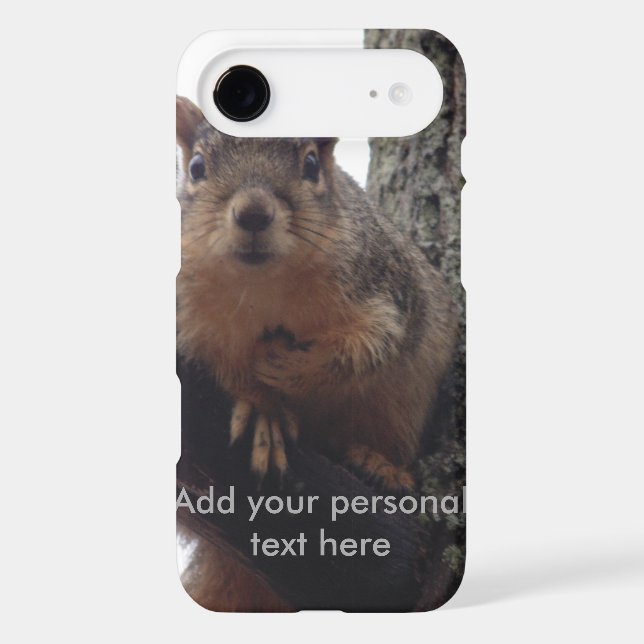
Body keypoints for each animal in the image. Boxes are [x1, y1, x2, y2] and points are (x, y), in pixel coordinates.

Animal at [176, 96, 457, 610]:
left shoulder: (382, 289)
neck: (260, 285)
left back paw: (375, 462)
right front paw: (262, 406)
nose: (253, 213)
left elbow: (367, 347)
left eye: (310, 164)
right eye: (197, 167)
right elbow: (219, 365)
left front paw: (288, 369)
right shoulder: (186, 318)